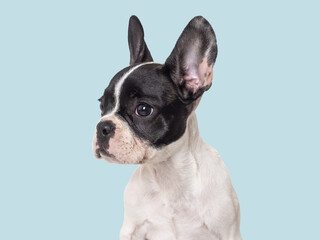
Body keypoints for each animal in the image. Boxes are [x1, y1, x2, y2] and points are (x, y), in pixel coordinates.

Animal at [92, 15, 240, 240]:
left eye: (143, 110)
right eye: (102, 106)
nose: (103, 127)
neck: (167, 175)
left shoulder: (228, 231)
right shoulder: (131, 229)